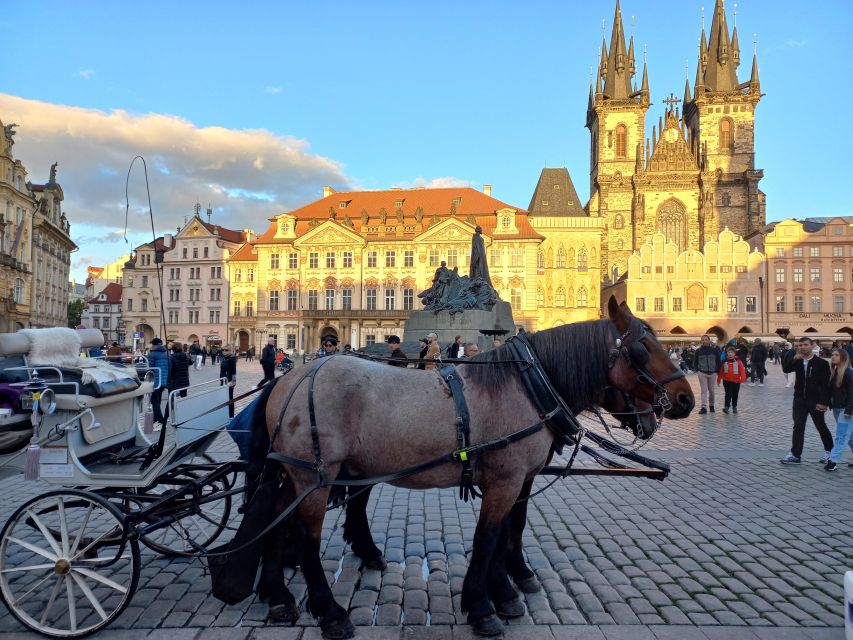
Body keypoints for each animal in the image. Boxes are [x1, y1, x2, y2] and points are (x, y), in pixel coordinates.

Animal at [255, 298, 692, 636]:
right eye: (642, 348)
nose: (686, 399)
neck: (527, 386)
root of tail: (291, 378)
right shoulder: (505, 481)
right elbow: (489, 538)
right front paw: (484, 606)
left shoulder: (519, 479)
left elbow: (508, 531)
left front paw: (506, 589)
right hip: (314, 476)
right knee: (306, 537)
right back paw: (329, 613)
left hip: (305, 474)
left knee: (276, 520)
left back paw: (278, 596)